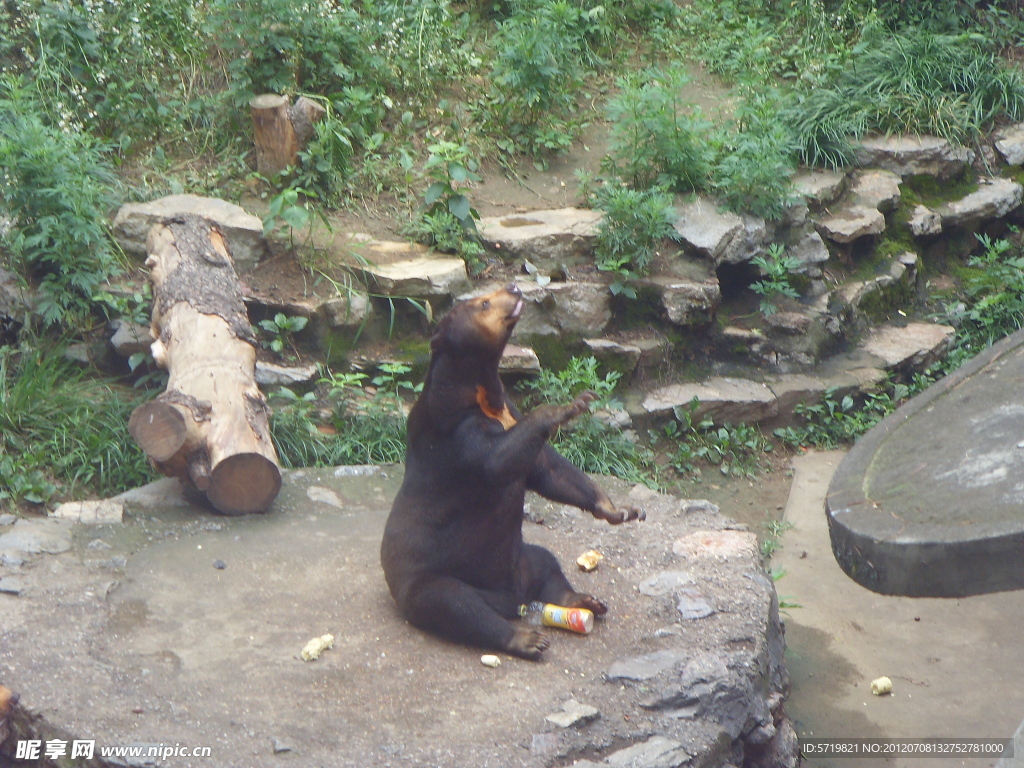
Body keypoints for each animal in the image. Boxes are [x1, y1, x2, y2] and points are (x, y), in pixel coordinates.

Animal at [380, 282, 643, 663]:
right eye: (483, 302)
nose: (515, 286)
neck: (482, 392)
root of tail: (511, 601)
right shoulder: (454, 432)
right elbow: (496, 461)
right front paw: (570, 405)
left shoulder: (505, 412)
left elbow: (547, 470)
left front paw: (620, 509)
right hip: (430, 579)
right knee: (454, 604)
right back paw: (527, 639)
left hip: (522, 558)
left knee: (547, 564)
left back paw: (583, 601)